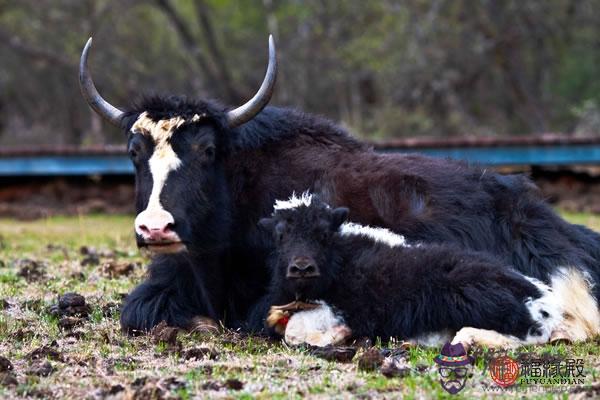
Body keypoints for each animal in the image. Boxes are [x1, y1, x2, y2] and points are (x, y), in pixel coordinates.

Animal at [260, 193, 568, 346]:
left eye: (323, 235)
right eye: (280, 235)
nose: (301, 268)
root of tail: (544, 298)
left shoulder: (353, 308)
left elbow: (295, 332)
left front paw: (338, 335)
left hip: (480, 299)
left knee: (528, 334)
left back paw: (467, 338)